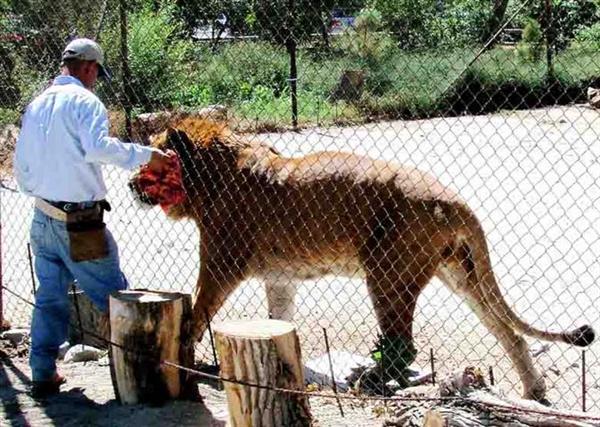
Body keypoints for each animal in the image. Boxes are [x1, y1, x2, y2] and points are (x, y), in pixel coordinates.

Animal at [127, 118, 596, 402]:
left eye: (149, 164)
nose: (129, 184)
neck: (210, 175)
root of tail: (455, 198)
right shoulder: (279, 278)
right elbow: (279, 319)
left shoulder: (221, 264)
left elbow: (195, 315)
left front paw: (185, 369)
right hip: (460, 274)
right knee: (509, 334)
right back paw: (534, 391)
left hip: (387, 272)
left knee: (402, 344)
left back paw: (369, 381)